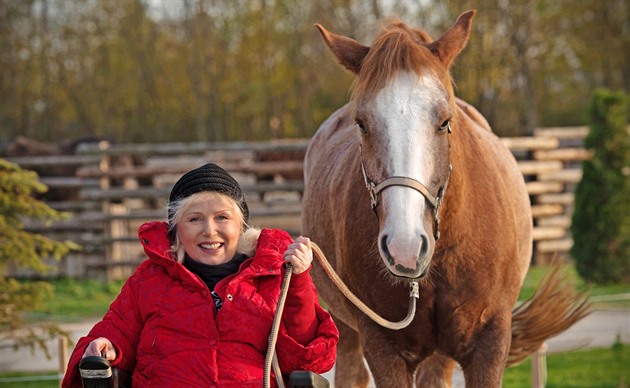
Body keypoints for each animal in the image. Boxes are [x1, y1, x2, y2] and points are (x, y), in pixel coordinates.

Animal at [304, 10, 592, 386]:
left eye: (444, 121)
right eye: (362, 124)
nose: (405, 247)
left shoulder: (490, 344)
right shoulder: (382, 347)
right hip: (348, 330)